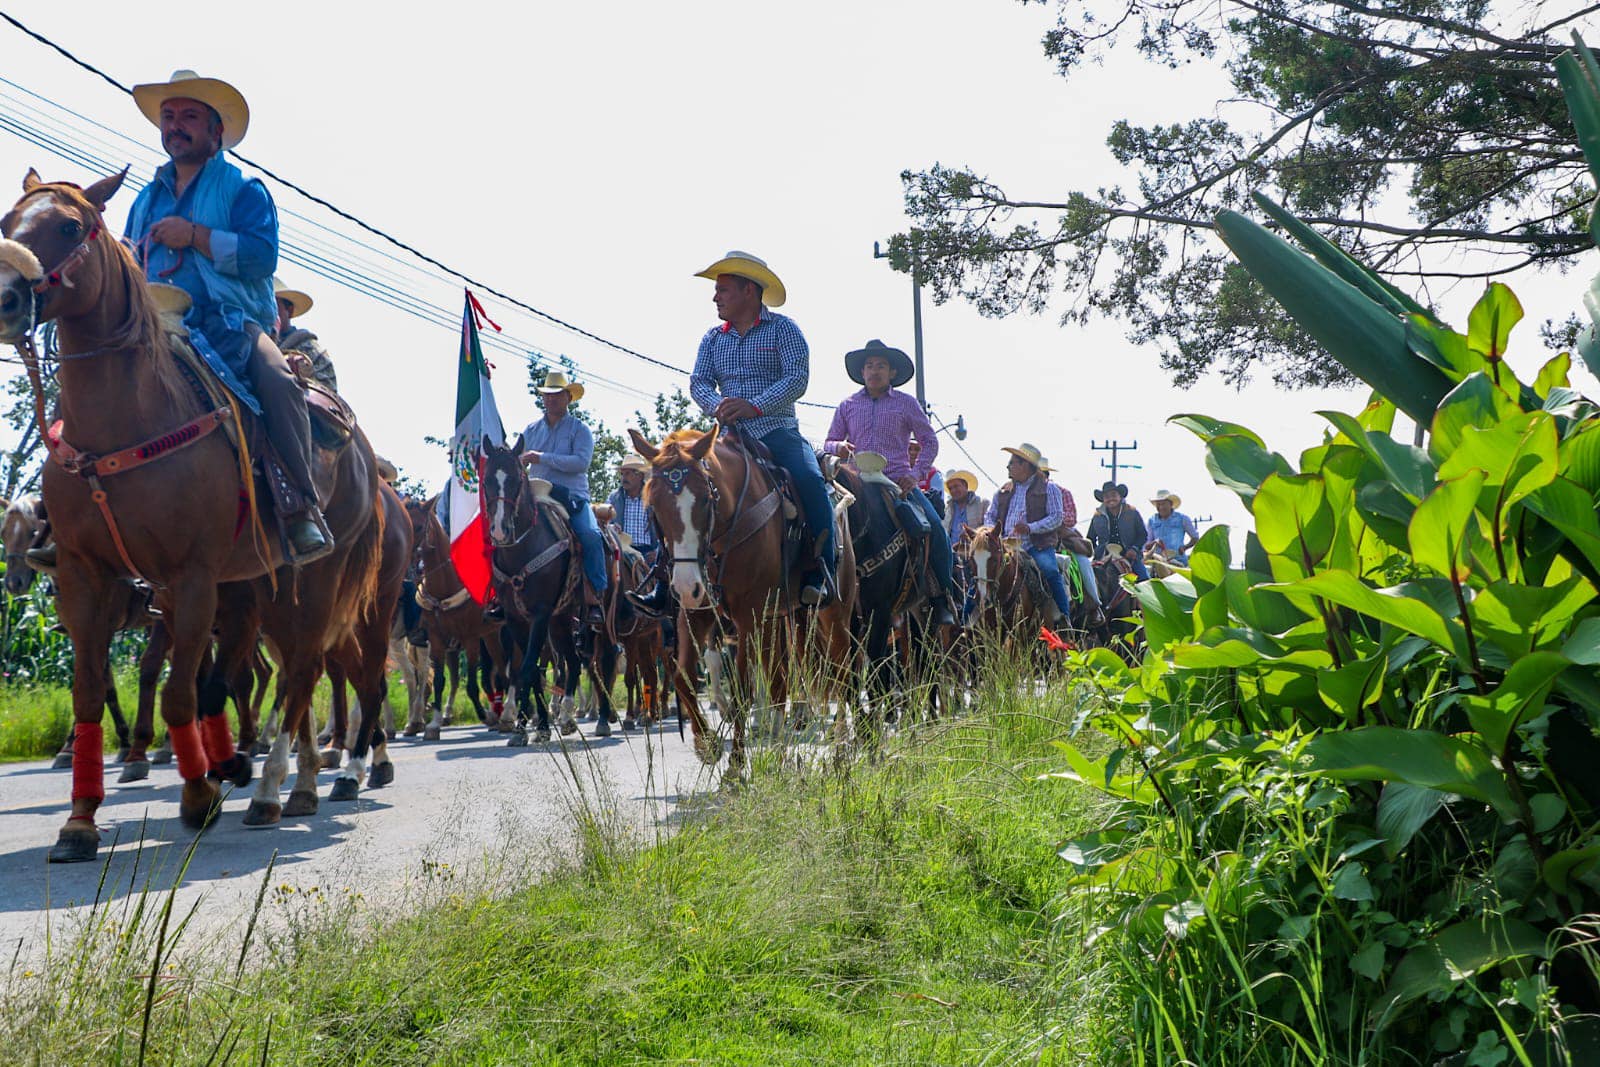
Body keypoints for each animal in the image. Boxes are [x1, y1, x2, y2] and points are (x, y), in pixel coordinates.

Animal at [0, 171, 387, 863]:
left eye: (70, 226)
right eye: (5, 222)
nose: (6, 297)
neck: (124, 422)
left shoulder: (190, 578)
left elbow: (180, 689)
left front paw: (199, 794)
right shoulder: (85, 578)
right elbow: (92, 692)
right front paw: (80, 820)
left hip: (320, 579)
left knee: (308, 672)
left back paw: (276, 788)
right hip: (263, 588)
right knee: (288, 669)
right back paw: (290, 780)